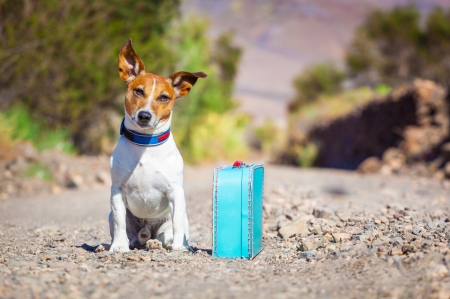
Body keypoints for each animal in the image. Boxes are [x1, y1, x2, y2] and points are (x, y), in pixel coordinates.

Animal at [108, 38, 207, 253]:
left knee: (166, 235)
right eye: (138, 91)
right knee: (130, 235)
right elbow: (119, 221)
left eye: (164, 97)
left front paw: (178, 247)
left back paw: (160, 243)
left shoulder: (176, 192)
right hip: (115, 217)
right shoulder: (117, 190)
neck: (145, 143)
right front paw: (118, 247)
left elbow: (177, 224)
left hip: (174, 220)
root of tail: (147, 231)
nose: (144, 115)